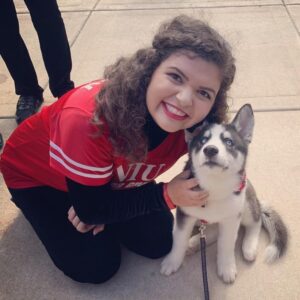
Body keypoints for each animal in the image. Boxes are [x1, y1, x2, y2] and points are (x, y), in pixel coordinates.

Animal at [161, 104, 288, 282]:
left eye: (229, 142)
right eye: (203, 141)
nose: (210, 150)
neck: (214, 187)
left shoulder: (231, 219)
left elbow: (226, 244)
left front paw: (226, 267)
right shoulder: (185, 213)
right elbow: (179, 239)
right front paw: (172, 262)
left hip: (246, 203)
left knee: (255, 222)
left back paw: (248, 247)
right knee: (212, 232)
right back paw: (193, 243)